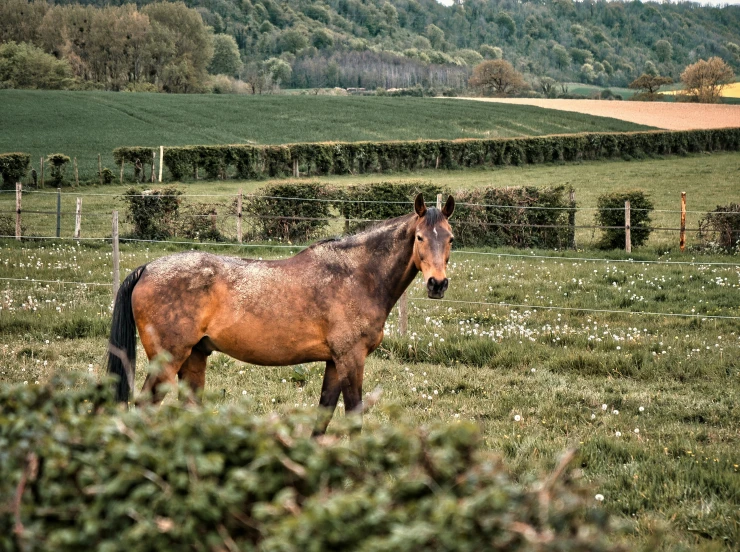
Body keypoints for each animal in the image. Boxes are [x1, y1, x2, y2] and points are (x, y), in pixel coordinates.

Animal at [107, 194, 454, 432]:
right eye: (420, 237)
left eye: (450, 238)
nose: (437, 284)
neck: (356, 274)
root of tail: (148, 268)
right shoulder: (351, 358)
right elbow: (353, 414)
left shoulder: (334, 361)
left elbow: (324, 413)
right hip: (168, 361)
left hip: (194, 358)